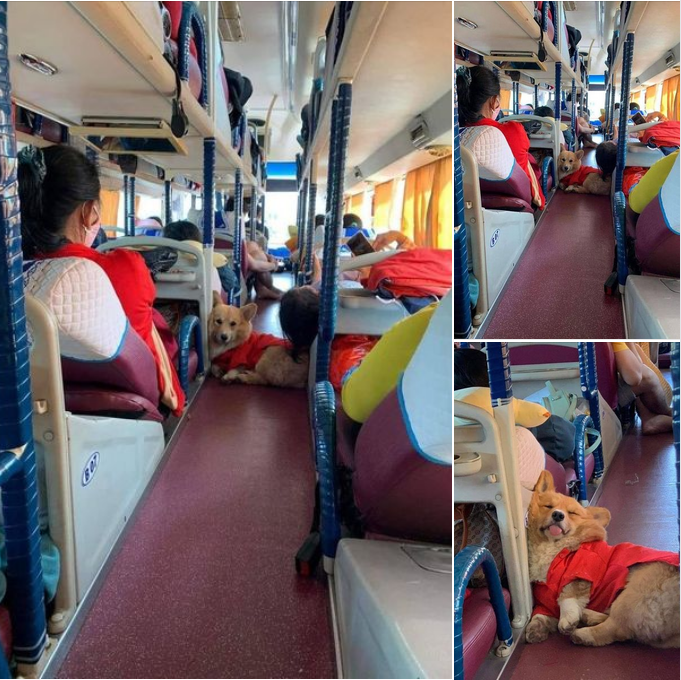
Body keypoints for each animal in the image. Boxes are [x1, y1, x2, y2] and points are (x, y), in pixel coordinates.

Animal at [524, 470, 676, 652]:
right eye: (548, 506)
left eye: (572, 513)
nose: (558, 515)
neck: (555, 548)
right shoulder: (545, 601)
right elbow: (539, 615)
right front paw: (535, 629)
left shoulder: (583, 572)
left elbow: (568, 594)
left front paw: (568, 619)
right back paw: (589, 615)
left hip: (636, 591)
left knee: (616, 629)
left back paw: (583, 633)